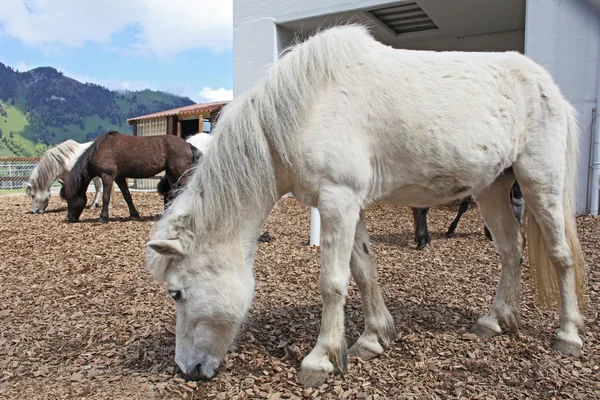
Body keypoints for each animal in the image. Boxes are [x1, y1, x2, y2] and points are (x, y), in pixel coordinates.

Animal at [63, 133, 200, 223]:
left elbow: (105, 197)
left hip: (180, 173)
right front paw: (134, 215)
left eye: (70, 198)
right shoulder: (119, 177)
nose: (70, 218)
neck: (100, 149)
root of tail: (188, 144)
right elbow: (127, 196)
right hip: (172, 175)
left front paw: (103, 217)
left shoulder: (107, 176)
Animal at [145, 25, 584, 388]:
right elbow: (363, 271)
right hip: (493, 188)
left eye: (176, 293)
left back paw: (568, 335)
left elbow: (333, 283)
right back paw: (494, 321)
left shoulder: (338, 200)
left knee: (560, 256)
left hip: (539, 182)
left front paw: (321, 359)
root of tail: (547, 85)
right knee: (511, 251)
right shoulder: (347, 206)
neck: (306, 107)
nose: (187, 369)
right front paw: (373, 339)